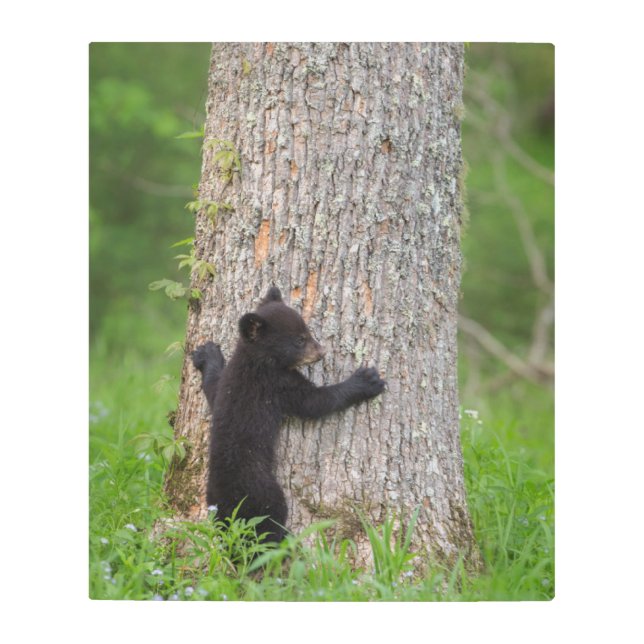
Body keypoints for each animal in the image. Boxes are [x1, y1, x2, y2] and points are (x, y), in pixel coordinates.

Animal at [192, 286, 386, 544]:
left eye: (307, 331)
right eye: (299, 340)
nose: (322, 352)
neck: (256, 360)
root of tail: (228, 506)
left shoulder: (227, 385)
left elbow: (213, 388)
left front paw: (206, 353)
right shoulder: (277, 384)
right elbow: (315, 402)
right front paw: (366, 381)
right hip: (264, 493)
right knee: (268, 526)